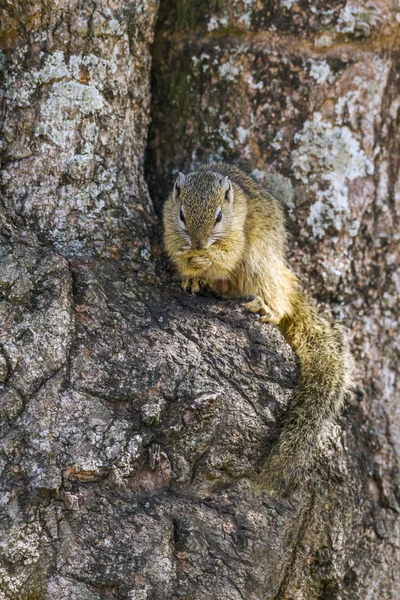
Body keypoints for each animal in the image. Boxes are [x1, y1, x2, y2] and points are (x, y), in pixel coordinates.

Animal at [162, 164, 350, 492]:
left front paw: (206, 258)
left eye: (219, 217)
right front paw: (190, 267)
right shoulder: (169, 224)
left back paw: (267, 307)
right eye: (182, 214)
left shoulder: (238, 232)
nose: (198, 245)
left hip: (260, 263)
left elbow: (227, 256)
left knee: (276, 297)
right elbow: (177, 251)